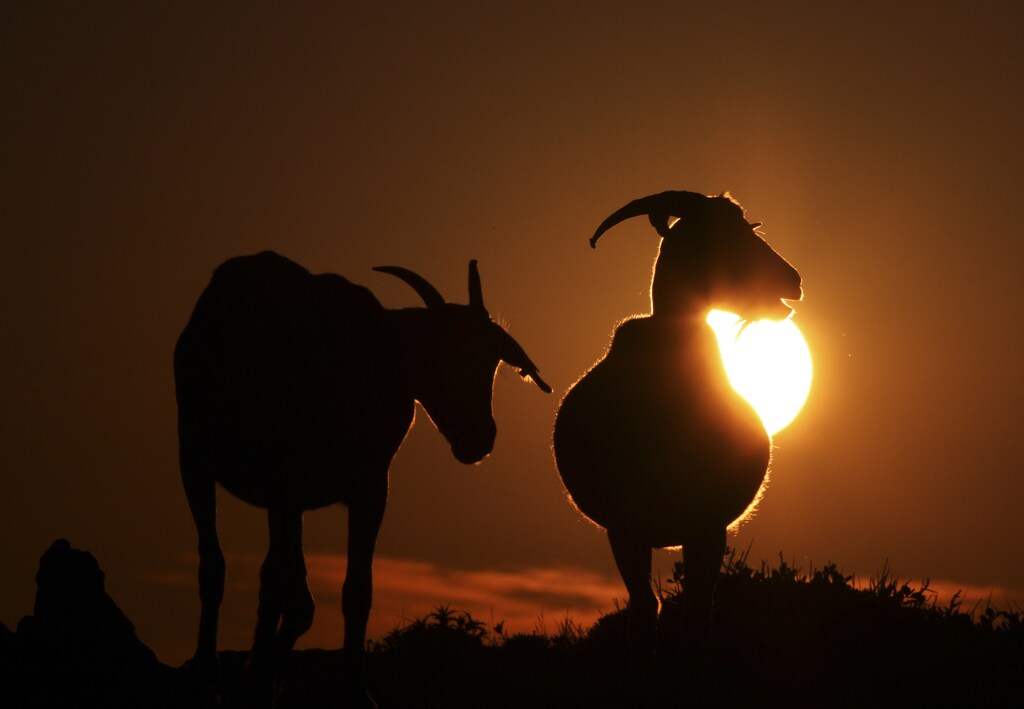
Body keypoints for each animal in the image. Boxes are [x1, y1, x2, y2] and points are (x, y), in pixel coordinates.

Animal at [174, 251, 550, 705]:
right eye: (436, 354)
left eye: (489, 361)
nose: (479, 437)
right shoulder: (285, 486)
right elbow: (283, 588)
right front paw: (260, 678)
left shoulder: (368, 489)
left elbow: (355, 590)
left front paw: (355, 689)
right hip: (197, 462)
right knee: (216, 566)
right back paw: (209, 673)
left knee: (280, 587)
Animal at [552, 191, 802, 683]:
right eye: (722, 238)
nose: (794, 280)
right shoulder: (624, 526)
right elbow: (645, 608)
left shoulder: (708, 524)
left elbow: (698, 610)